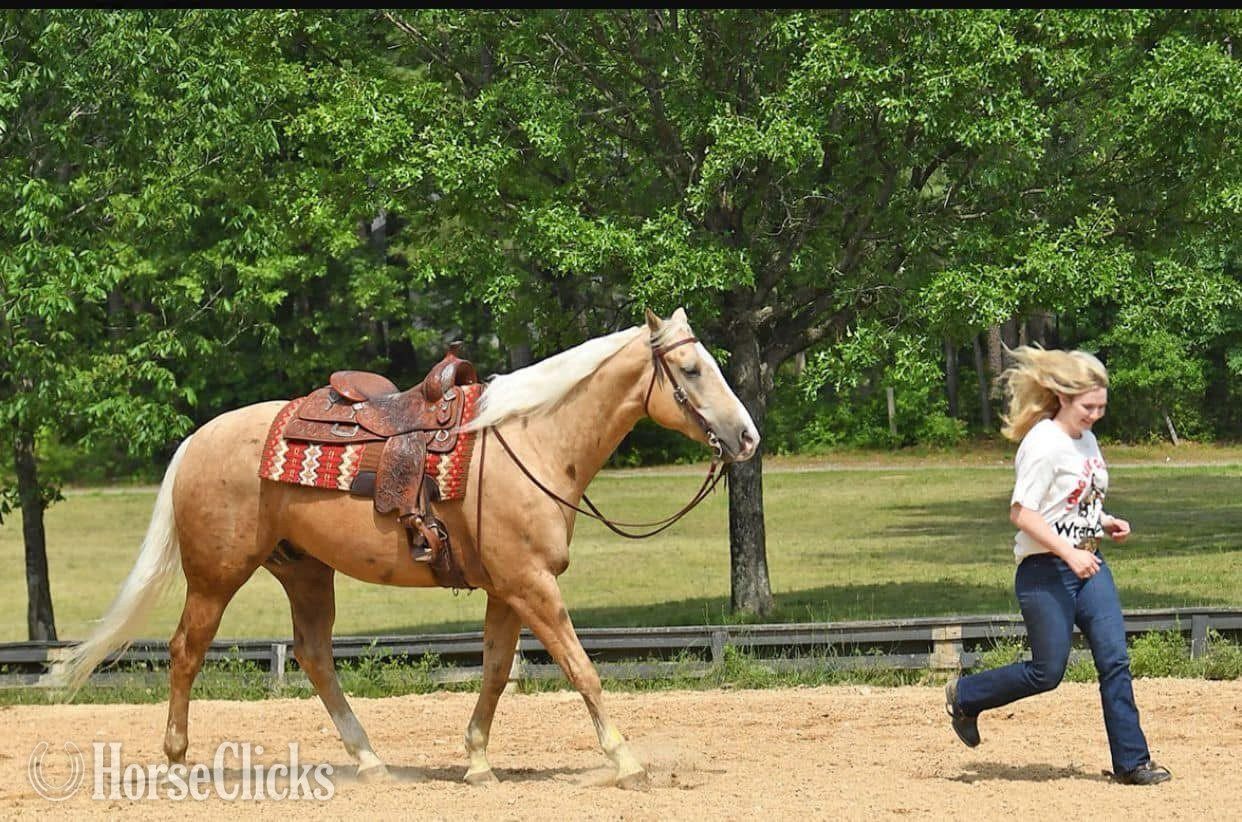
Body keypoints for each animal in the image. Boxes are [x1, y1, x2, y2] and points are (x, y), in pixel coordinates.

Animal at [53, 307, 759, 789]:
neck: (530, 441)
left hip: (304, 572)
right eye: (691, 369)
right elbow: (581, 667)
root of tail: (199, 439)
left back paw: (370, 761)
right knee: (185, 652)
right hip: (216, 575)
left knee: (313, 656)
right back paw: (176, 763)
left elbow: (497, 671)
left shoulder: (508, 588)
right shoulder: (532, 584)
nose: (747, 437)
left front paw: (477, 763)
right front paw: (627, 760)